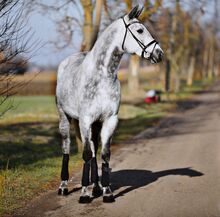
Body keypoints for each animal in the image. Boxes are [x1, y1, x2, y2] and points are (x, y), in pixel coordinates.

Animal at [56, 5, 163, 203]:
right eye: (139, 30)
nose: (159, 54)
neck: (101, 76)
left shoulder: (109, 120)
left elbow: (104, 154)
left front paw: (106, 192)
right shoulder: (85, 120)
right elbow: (86, 154)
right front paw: (84, 193)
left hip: (95, 124)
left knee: (94, 149)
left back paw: (96, 188)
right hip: (64, 118)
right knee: (66, 148)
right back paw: (64, 186)